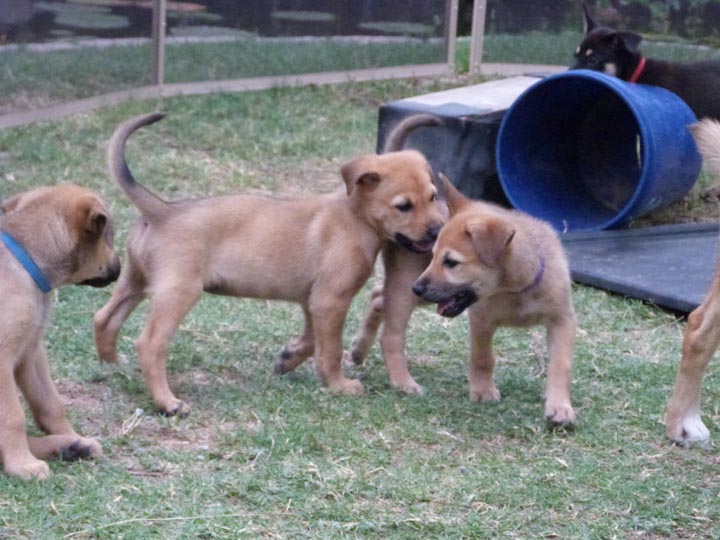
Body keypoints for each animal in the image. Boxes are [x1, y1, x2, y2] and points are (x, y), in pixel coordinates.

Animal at [0, 184, 119, 478]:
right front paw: (22, 464)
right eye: (109, 237)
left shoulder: (30, 352)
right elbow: (13, 415)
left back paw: (71, 446)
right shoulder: (2, 360)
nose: (120, 268)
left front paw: (73, 436)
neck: (26, 261)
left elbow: (51, 403)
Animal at [94, 113, 444, 418]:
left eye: (433, 196)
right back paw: (167, 402)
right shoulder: (330, 300)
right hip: (178, 291)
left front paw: (288, 359)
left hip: (136, 281)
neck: (353, 217)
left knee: (104, 318)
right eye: (404, 206)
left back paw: (112, 365)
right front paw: (339, 385)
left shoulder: (313, 300)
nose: (438, 231)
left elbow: (313, 339)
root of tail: (162, 210)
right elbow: (330, 350)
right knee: (150, 344)